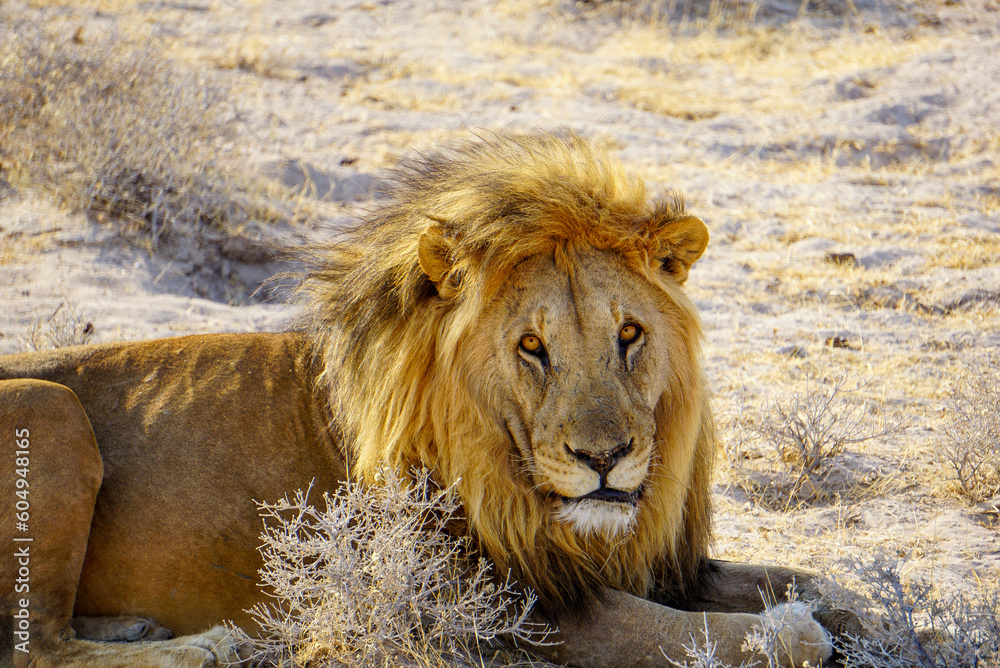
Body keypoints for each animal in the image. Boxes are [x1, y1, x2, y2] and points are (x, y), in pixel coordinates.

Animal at [0, 132, 847, 668]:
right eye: (531, 346)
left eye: (630, 334)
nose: (605, 459)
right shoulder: (521, 609)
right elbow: (752, 636)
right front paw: (797, 633)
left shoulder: (653, 564)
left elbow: (818, 584)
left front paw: (841, 606)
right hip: (50, 407)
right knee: (35, 646)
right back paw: (207, 647)